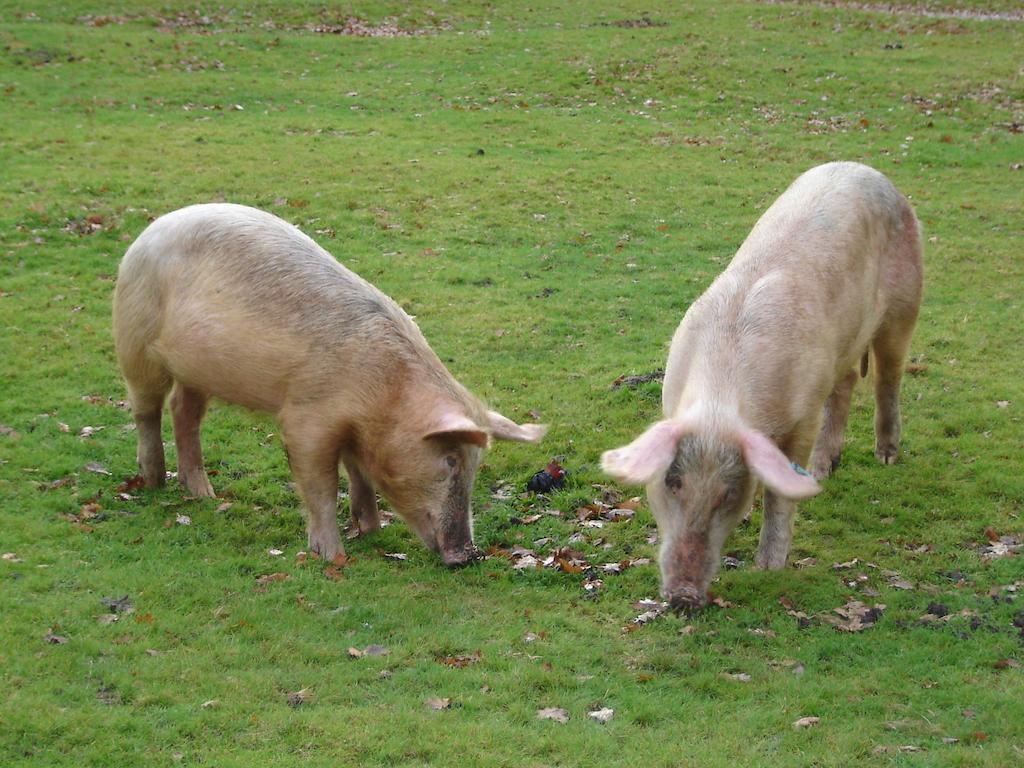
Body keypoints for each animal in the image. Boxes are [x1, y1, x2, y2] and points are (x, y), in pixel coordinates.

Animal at [113, 202, 548, 565]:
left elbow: (358, 471)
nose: (468, 556)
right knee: (146, 408)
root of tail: (151, 230)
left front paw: (369, 529)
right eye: (450, 460)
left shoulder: (355, 430)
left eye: (476, 464)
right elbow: (320, 483)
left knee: (184, 412)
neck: (385, 394)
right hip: (135, 340)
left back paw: (204, 493)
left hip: (196, 369)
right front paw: (333, 557)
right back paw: (153, 482)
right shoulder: (307, 416)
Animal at [602, 162, 925, 614]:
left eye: (729, 493)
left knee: (888, 376)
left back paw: (885, 457)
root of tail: (868, 170)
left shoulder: (803, 416)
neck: (719, 403)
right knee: (845, 385)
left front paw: (768, 568)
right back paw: (824, 472)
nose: (684, 597)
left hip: (905, 303)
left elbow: (780, 491)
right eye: (672, 482)